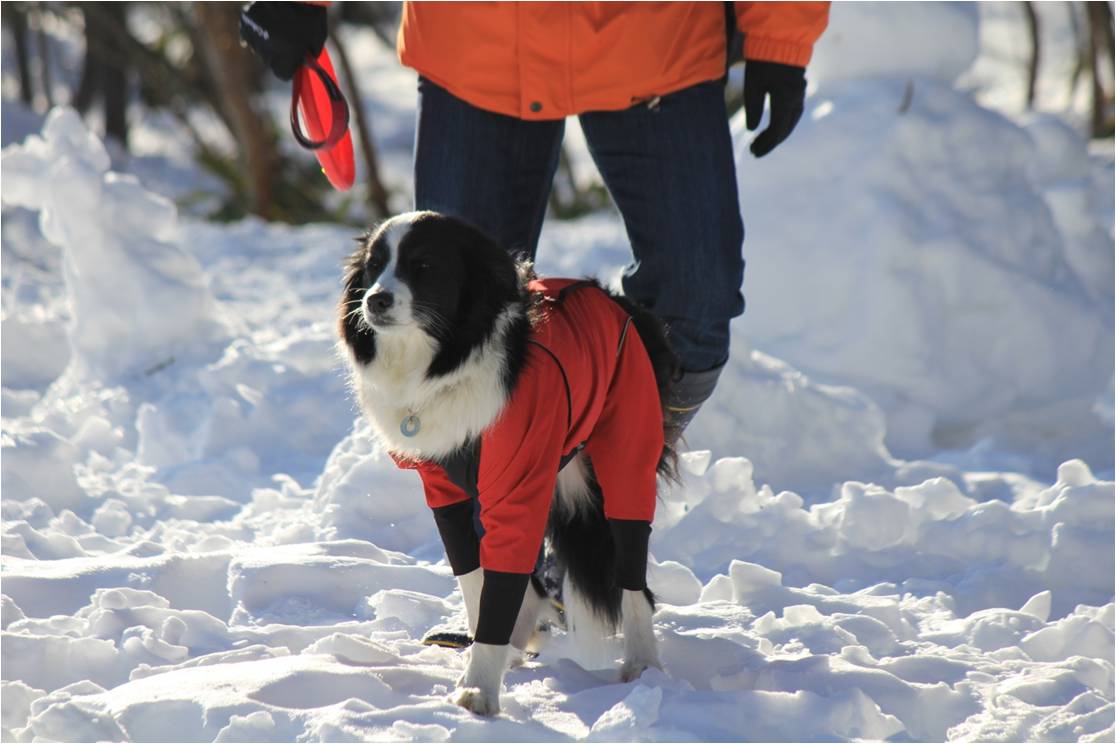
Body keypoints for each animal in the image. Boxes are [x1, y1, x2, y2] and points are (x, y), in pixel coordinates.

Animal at [334, 209, 674, 713]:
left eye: (424, 265)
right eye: (374, 266)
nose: (374, 300)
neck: (443, 364)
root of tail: (615, 301)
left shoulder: (518, 485)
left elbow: (500, 583)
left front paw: (479, 688)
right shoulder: (448, 492)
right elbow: (478, 579)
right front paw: (491, 652)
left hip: (624, 460)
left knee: (632, 573)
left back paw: (643, 663)